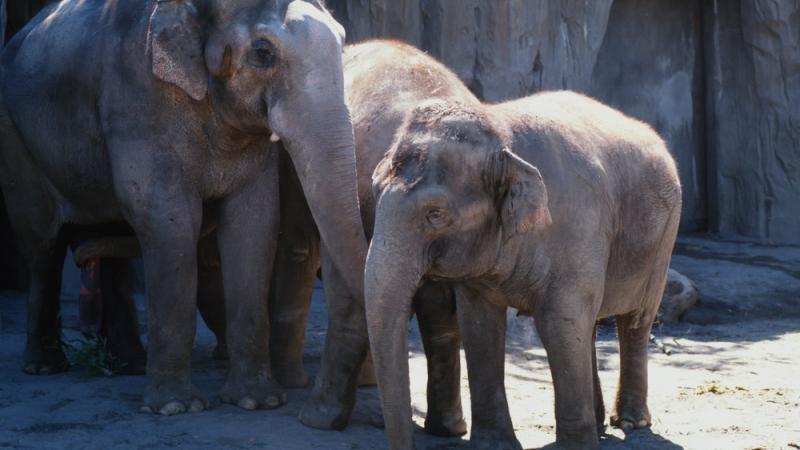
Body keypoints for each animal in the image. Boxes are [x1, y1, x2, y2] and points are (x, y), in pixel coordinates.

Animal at [0, 0, 368, 414]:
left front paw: (259, 401)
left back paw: (130, 363)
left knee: (109, 243)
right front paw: (176, 408)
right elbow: (169, 222)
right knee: (41, 245)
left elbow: (253, 221)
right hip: (14, 139)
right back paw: (45, 366)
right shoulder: (137, 99)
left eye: (342, 39)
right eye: (263, 53)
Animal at [362, 93, 680, 448]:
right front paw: (494, 445)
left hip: (663, 240)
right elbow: (480, 326)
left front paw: (576, 446)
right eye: (374, 190)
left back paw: (632, 421)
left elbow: (560, 324)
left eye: (435, 214)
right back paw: (601, 423)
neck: (501, 132)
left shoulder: (578, 228)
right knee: (591, 326)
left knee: (635, 321)